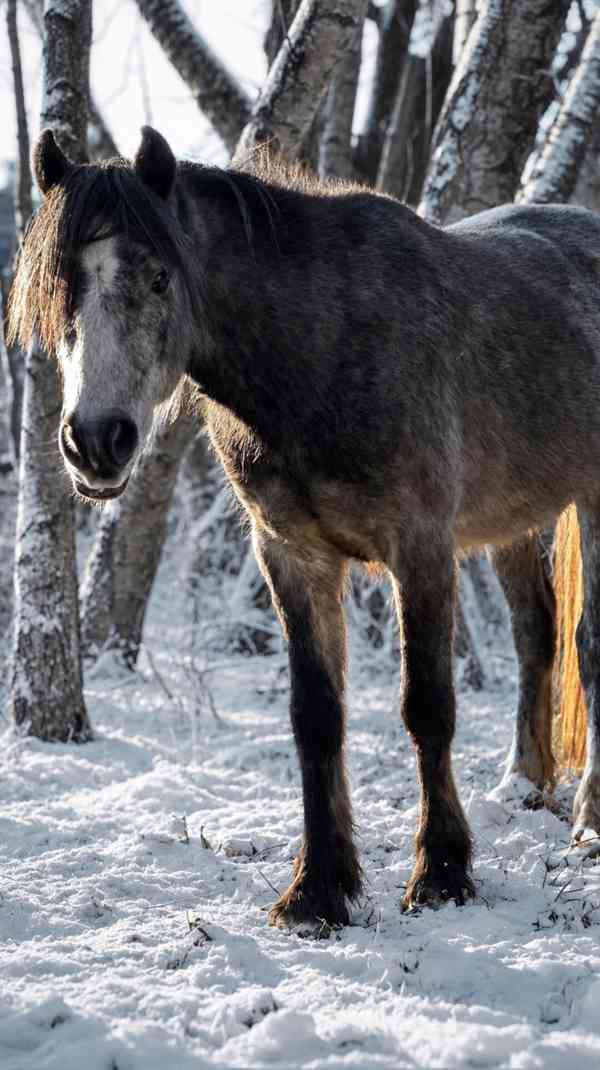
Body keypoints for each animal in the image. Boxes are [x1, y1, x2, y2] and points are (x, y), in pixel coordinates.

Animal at [9, 124, 600, 928]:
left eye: (160, 279)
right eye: (58, 285)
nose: (96, 441)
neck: (322, 351)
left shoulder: (420, 549)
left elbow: (428, 707)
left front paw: (442, 875)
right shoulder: (292, 555)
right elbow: (315, 714)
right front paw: (319, 889)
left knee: (588, 645)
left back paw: (590, 822)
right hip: (513, 521)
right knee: (537, 632)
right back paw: (524, 786)